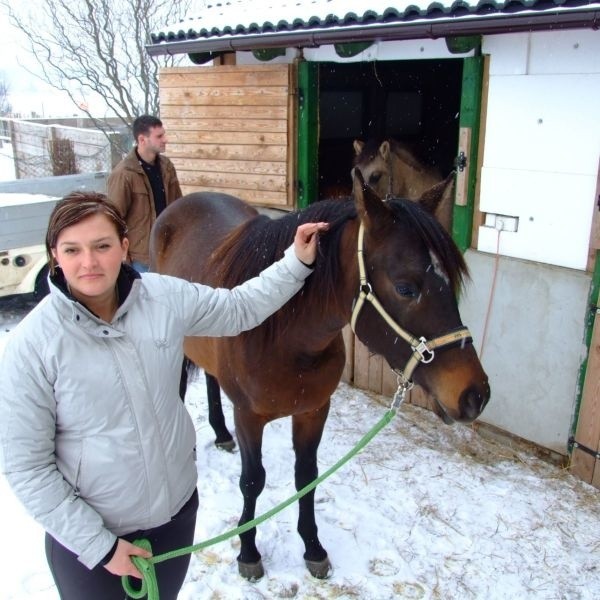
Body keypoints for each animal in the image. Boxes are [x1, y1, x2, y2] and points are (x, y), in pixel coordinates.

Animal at [149, 172, 488, 580]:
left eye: (450, 284)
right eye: (406, 287)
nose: (475, 394)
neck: (283, 335)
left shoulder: (313, 411)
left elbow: (306, 477)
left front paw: (312, 546)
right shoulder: (249, 417)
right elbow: (252, 481)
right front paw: (248, 551)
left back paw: (220, 433)